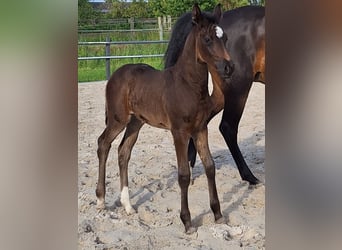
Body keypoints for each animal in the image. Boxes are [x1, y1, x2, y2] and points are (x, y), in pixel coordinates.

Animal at [97, 3, 235, 233]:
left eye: (224, 39)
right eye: (207, 39)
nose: (229, 68)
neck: (188, 85)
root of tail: (116, 74)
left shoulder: (201, 129)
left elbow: (210, 166)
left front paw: (218, 214)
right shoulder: (179, 132)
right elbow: (183, 175)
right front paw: (187, 221)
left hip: (136, 122)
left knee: (123, 151)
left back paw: (128, 206)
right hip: (118, 119)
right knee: (103, 144)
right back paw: (100, 200)